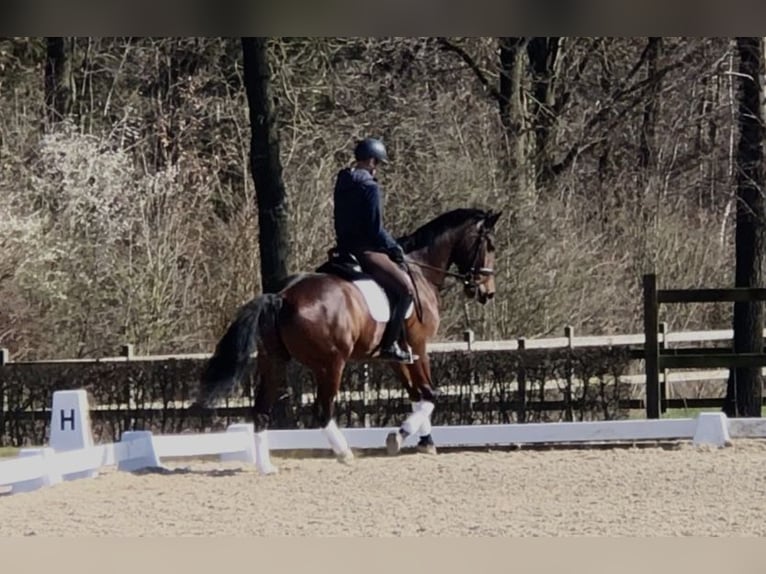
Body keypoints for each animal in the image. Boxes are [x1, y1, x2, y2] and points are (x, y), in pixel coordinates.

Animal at [195, 207, 502, 474]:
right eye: (490, 246)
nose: (487, 293)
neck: (421, 271)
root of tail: (282, 296)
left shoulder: (397, 356)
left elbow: (417, 395)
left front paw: (425, 441)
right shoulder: (418, 347)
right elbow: (429, 395)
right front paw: (400, 435)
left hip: (274, 361)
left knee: (261, 411)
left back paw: (266, 467)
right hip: (330, 364)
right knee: (322, 410)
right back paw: (344, 452)